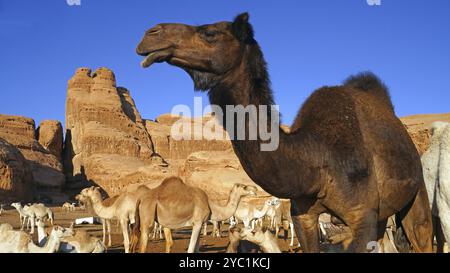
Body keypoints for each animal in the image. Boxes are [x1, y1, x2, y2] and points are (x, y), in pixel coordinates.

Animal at [135, 12, 434, 251]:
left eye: (210, 32)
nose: (150, 34)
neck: (317, 159)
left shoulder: (363, 217)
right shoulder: (304, 215)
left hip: (416, 192)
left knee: (422, 234)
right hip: (384, 213)